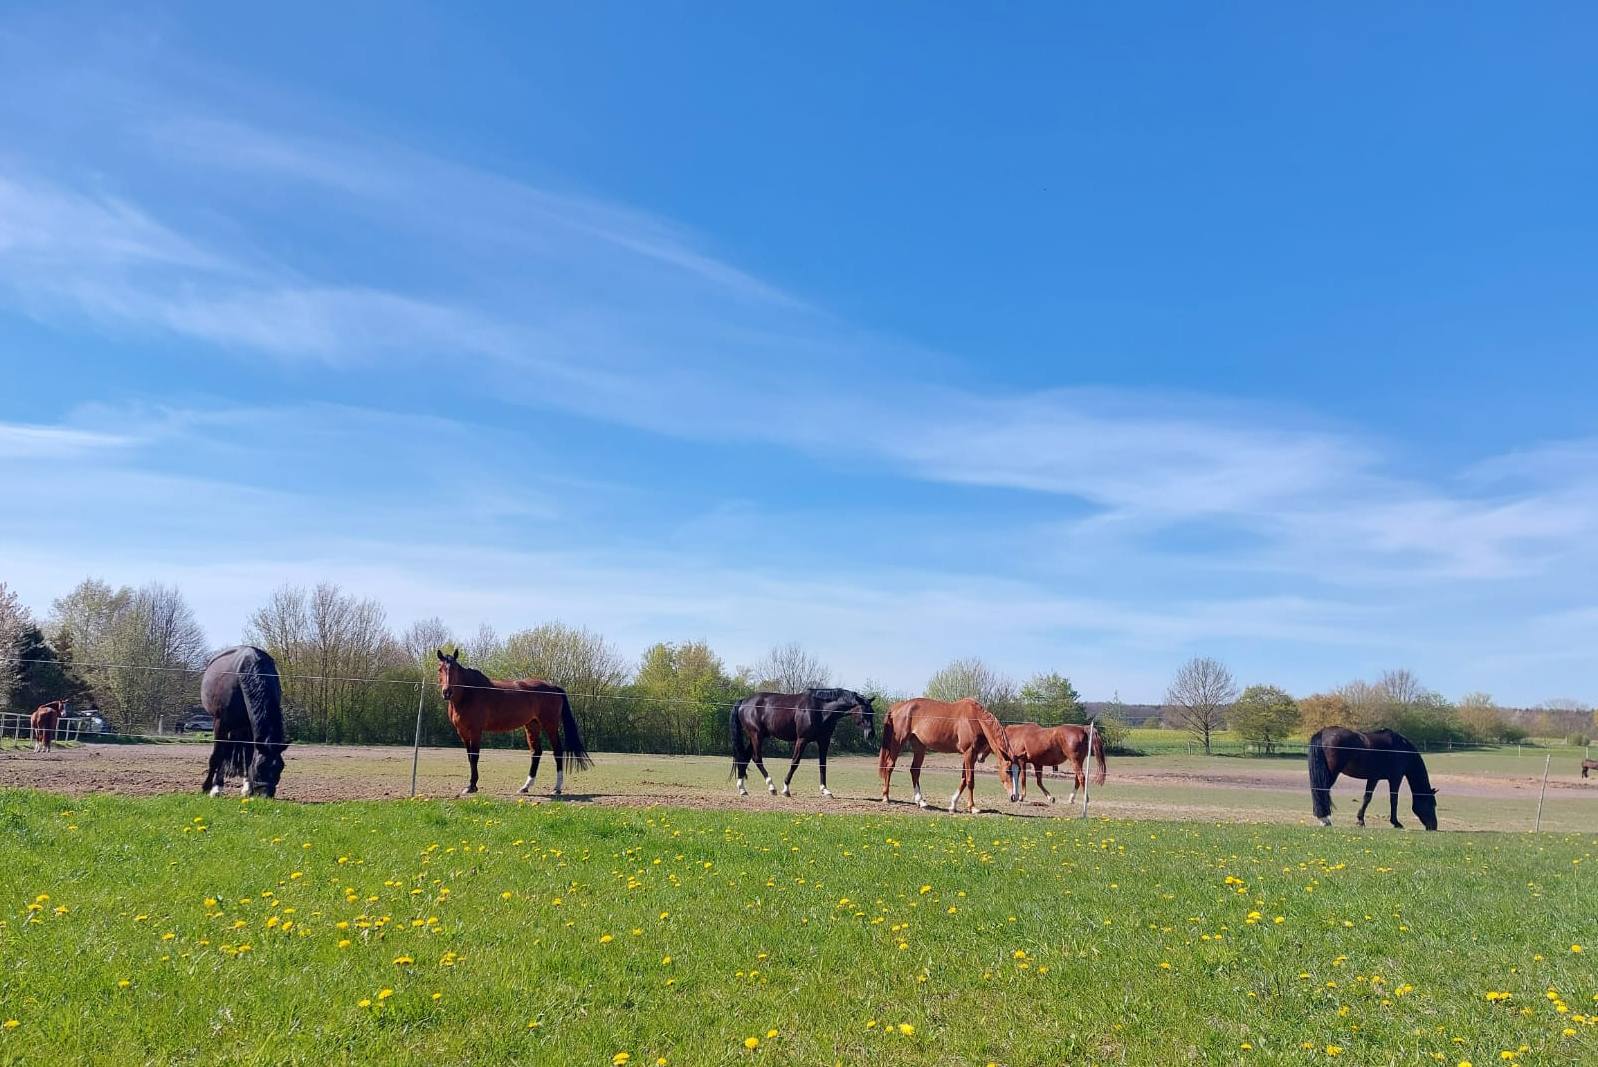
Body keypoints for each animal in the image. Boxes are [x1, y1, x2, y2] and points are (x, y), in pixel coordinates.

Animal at [200, 645, 289, 798]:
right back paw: (217, 785)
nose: (266, 795)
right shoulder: (220, 725)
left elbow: (248, 757)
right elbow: (216, 756)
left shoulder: (250, 728)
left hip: (242, 729)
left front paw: (247, 788)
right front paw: (209, 788)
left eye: (280, 767)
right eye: (260, 767)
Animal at [436, 649, 591, 796]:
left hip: (550, 725)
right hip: (532, 725)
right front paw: (471, 785)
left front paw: (471, 786)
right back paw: (525, 787)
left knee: (557, 751)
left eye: (455, 669)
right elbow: (469, 757)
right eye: (440, 669)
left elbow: (474, 757)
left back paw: (557, 788)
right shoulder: (462, 732)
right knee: (536, 752)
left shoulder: (475, 731)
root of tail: (554, 688)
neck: (470, 694)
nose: (447, 692)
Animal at [730, 688, 875, 797]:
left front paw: (825, 790)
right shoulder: (802, 740)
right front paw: (786, 789)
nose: (871, 734)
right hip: (756, 735)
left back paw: (742, 789)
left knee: (744, 757)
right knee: (757, 758)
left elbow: (823, 765)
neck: (820, 709)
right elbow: (795, 762)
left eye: (872, 711)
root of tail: (744, 701)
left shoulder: (824, 741)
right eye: (864, 711)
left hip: (757, 736)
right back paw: (771, 787)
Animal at [878, 697, 1019, 813]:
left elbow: (963, 779)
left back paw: (921, 802)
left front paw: (953, 805)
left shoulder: (970, 756)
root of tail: (899, 706)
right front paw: (972, 807)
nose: (1015, 797)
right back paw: (886, 797)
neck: (975, 719)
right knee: (890, 766)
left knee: (914, 770)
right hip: (899, 741)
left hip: (919, 746)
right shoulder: (969, 753)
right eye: (1008, 771)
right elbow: (970, 780)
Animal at [1307, 726, 1437, 830]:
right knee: (1321, 791)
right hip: (1331, 773)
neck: (1402, 749)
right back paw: (1324, 819)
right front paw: (1396, 823)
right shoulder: (1396, 778)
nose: (1434, 826)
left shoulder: (1374, 778)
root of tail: (1323, 733)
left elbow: (1367, 798)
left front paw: (1360, 820)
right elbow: (1394, 800)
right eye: (1431, 804)